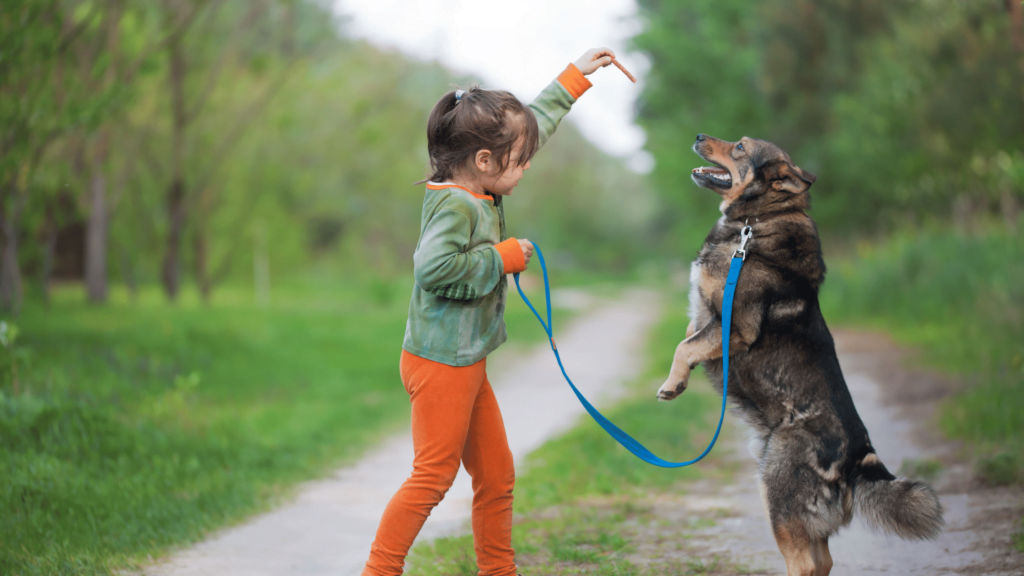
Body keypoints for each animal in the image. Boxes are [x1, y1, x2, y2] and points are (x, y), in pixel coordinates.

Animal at [655, 133, 942, 569]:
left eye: (740, 146)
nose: (700, 136)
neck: (755, 224)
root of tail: (859, 455)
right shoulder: (707, 318)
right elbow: (691, 335)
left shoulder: (735, 327)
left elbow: (683, 346)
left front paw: (673, 384)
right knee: (823, 561)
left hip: (776, 495)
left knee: (804, 563)